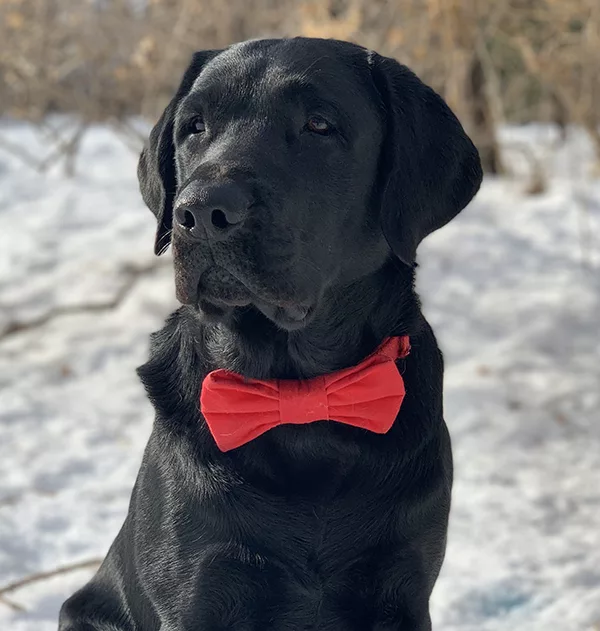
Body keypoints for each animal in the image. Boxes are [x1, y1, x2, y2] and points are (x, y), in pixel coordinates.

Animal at [59, 37, 482, 628]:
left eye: (319, 124)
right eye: (195, 126)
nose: (202, 212)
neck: (298, 396)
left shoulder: (402, 587)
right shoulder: (200, 588)